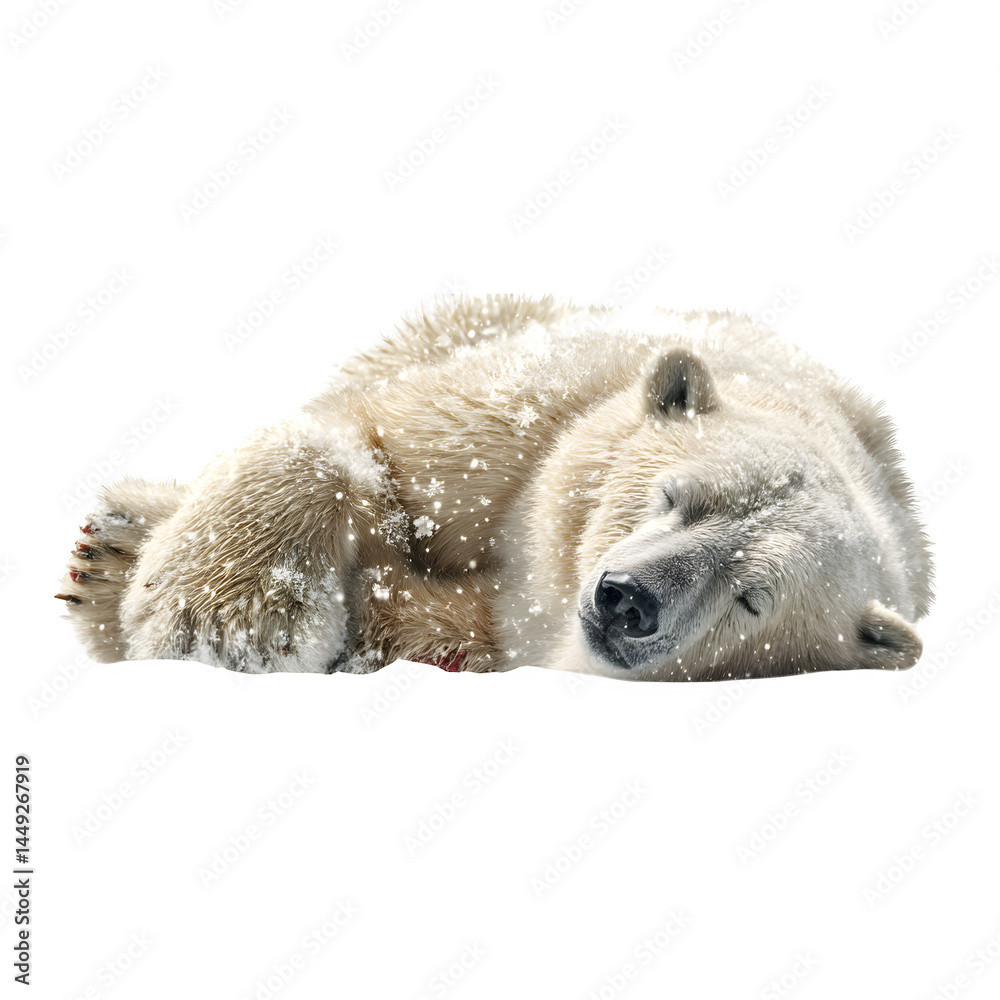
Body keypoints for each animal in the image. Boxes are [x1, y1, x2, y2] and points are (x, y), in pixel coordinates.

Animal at [56, 295, 933, 681]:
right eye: (674, 495)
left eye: (752, 598)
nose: (628, 600)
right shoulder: (535, 418)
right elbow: (367, 442)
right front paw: (223, 620)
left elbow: (422, 627)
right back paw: (112, 553)